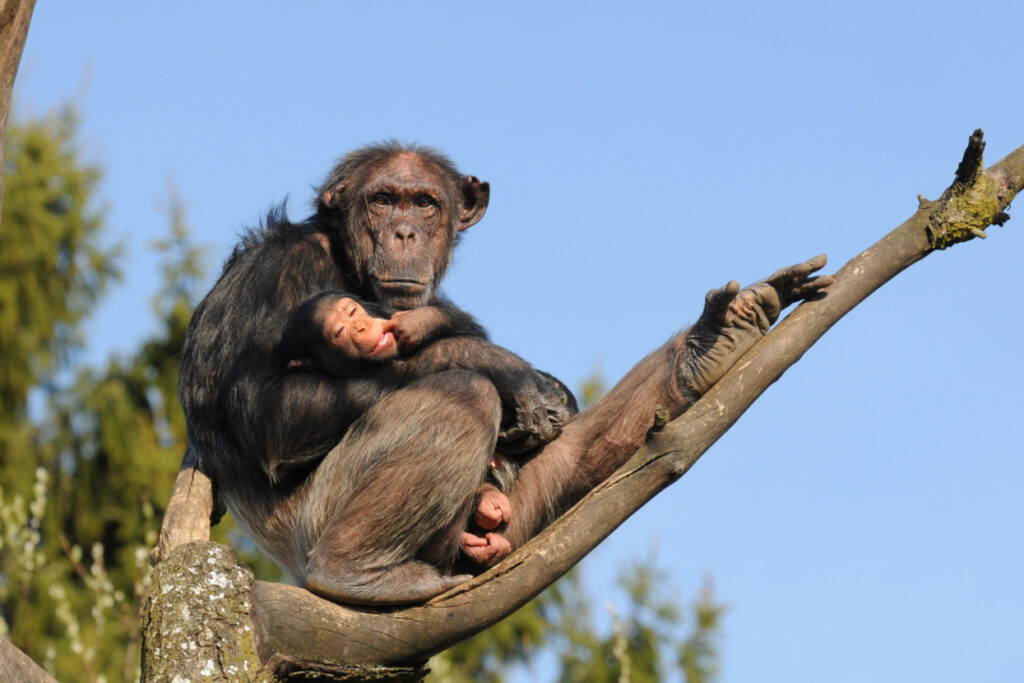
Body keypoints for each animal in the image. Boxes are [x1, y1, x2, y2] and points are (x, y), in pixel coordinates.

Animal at [178, 141, 831, 606]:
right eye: (382, 200)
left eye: (424, 203)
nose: (404, 232)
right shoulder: (283, 273)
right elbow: (265, 411)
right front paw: (509, 371)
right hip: (315, 520)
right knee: (461, 399)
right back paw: (356, 572)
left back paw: (710, 346)